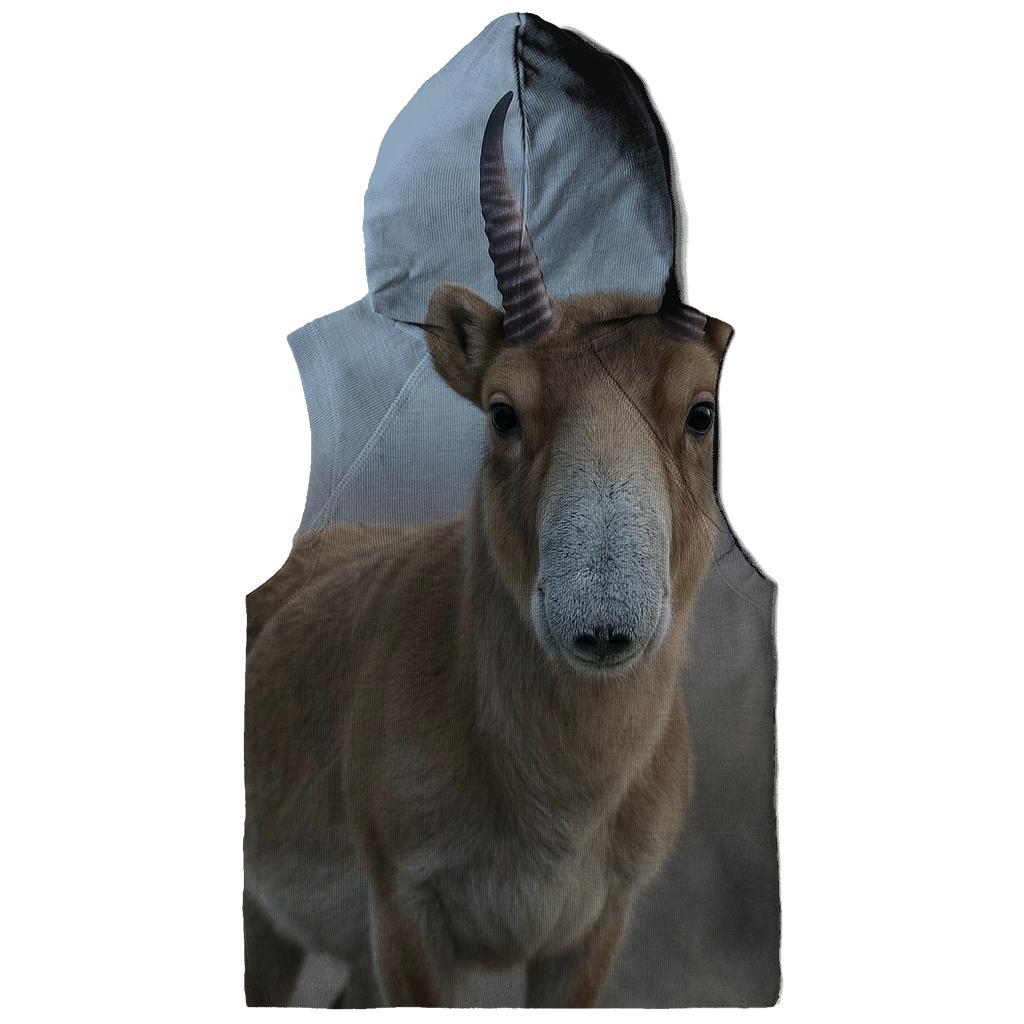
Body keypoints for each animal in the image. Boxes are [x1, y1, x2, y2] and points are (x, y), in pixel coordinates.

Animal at [243, 92, 733, 1008]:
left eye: (702, 410)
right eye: (503, 409)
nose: (600, 625)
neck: (557, 798)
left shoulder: (592, 934)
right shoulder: (407, 916)